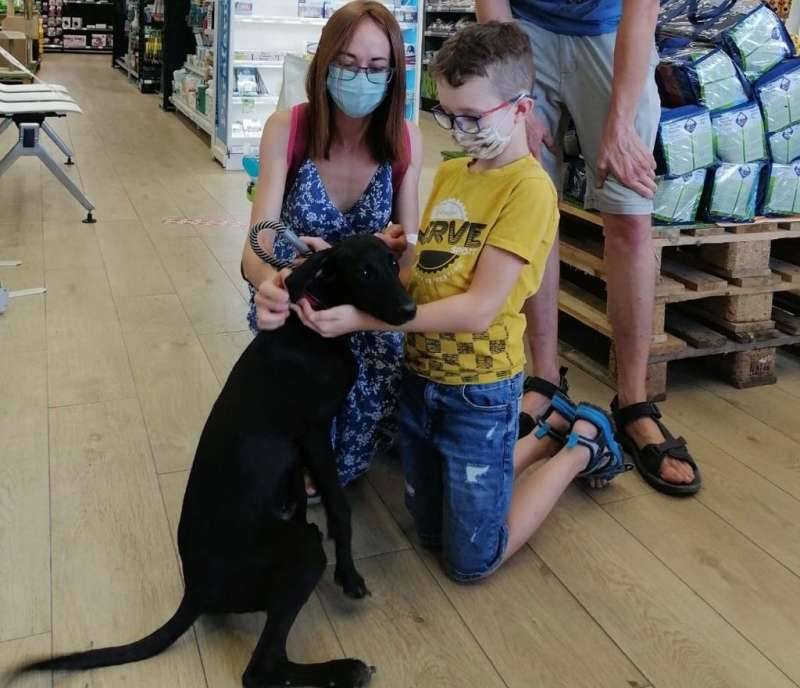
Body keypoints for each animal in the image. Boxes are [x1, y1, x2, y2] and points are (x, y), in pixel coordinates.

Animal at [15, 234, 418, 684]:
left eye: (392, 264)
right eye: (365, 271)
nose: (411, 311)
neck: (309, 333)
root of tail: (195, 591)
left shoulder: (299, 450)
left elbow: (306, 497)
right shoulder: (314, 433)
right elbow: (339, 508)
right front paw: (348, 575)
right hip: (304, 551)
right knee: (259, 669)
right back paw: (344, 669)